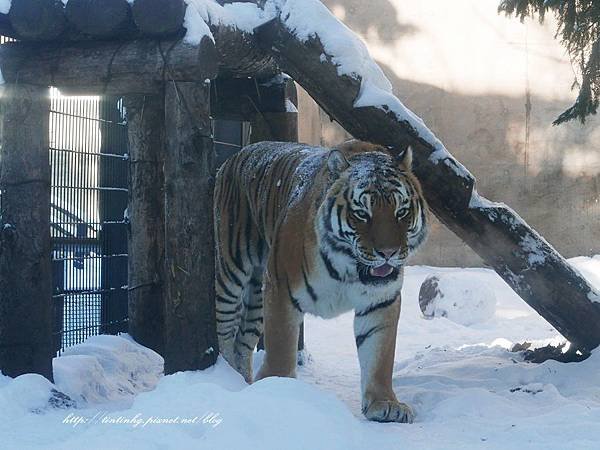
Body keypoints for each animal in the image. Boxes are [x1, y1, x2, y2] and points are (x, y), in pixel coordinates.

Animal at [214, 140, 426, 422]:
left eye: (401, 211)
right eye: (362, 213)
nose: (388, 253)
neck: (348, 268)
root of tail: (239, 153)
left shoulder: (381, 301)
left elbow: (380, 355)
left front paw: (385, 404)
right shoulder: (281, 290)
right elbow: (281, 346)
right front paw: (278, 390)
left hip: (256, 299)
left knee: (242, 343)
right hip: (232, 273)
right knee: (226, 334)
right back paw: (226, 381)